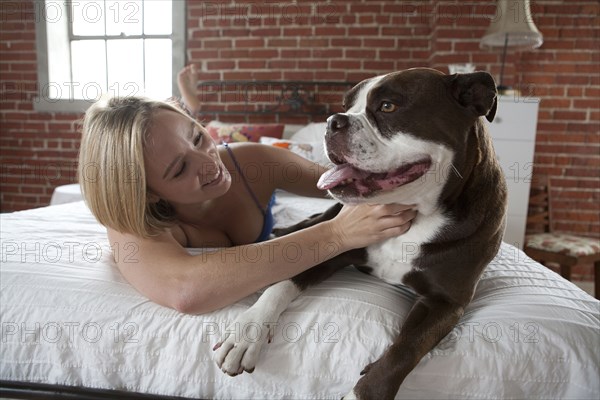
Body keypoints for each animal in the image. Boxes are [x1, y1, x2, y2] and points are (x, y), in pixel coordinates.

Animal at [214, 67, 506, 398]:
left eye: (388, 106)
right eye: (346, 105)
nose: (333, 121)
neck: (414, 215)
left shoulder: (446, 303)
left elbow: (405, 350)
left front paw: (362, 391)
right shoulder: (333, 246)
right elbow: (283, 282)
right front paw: (247, 331)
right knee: (312, 225)